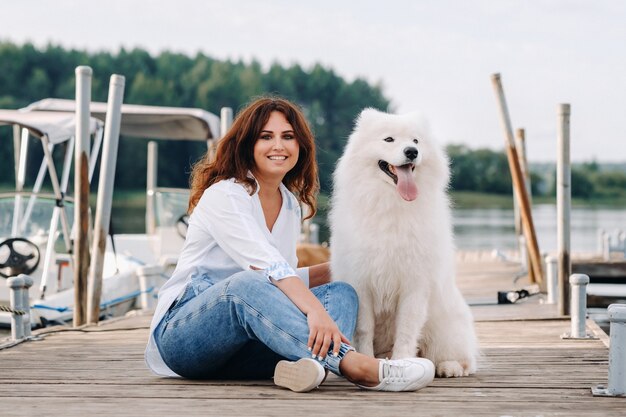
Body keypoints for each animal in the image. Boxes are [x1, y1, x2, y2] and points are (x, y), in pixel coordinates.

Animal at [330, 107, 476, 376]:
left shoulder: (414, 284)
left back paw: (449, 367)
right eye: (389, 139)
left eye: (416, 141)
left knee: (462, 358)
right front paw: (367, 359)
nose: (412, 152)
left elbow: (407, 330)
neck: (392, 203)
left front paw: (402, 362)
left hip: (446, 326)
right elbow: (364, 329)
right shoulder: (362, 283)